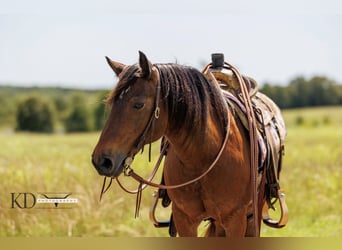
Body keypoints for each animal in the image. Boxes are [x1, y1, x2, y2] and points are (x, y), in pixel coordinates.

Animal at [91, 51, 286, 236]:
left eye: (138, 104)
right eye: (112, 103)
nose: (102, 161)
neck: (202, 159)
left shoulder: (235, 220)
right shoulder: (184, 219)